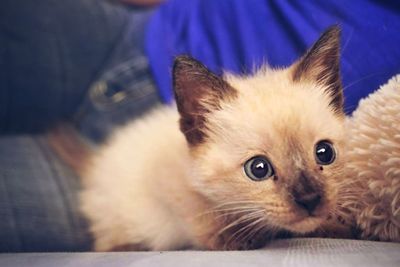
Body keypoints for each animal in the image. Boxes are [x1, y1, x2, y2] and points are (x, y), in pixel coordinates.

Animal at [69, 26, 346, 252]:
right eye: (258, 169)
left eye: (324, 153)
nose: (310, 200)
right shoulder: (167, 181)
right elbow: (202, 215)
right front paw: (239, 238)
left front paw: (332, 225)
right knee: (105, 242)